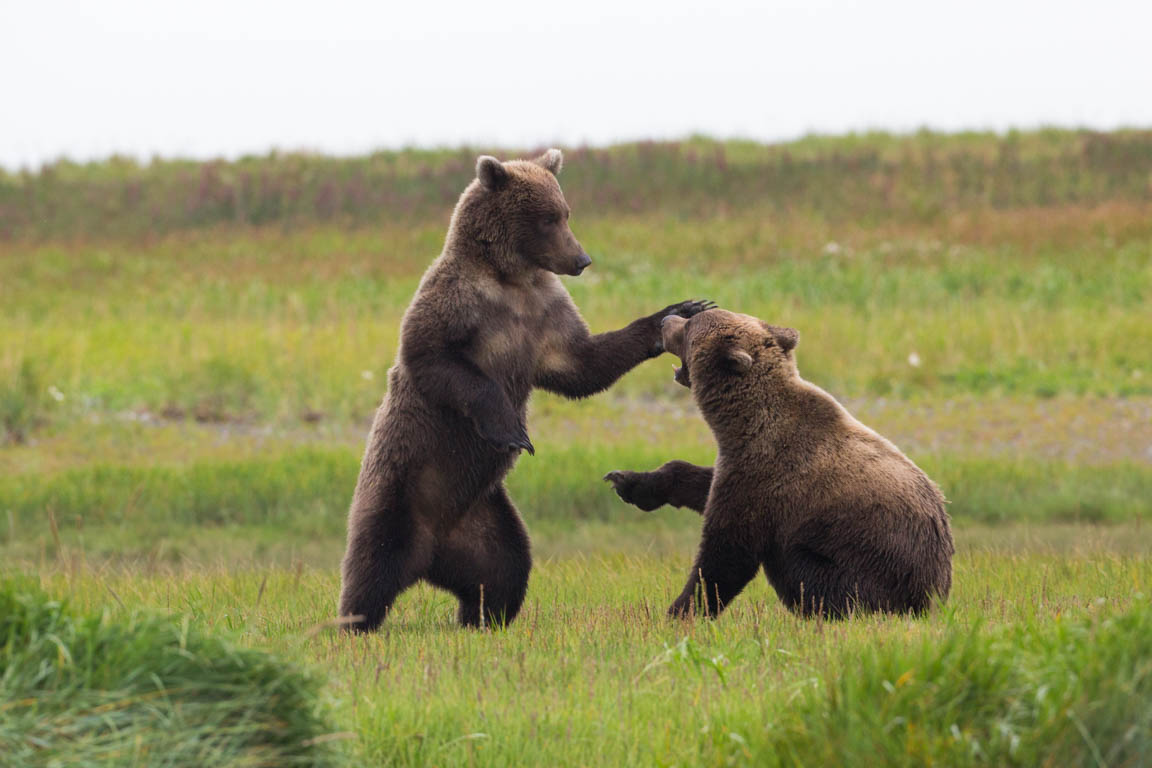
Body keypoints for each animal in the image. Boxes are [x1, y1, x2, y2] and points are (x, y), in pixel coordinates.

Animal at [336, 148, 709, 630]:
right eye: (548, 218)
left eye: (566, 212)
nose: (582, 259)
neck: (510, 279)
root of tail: (430, 556)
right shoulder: (456, 302)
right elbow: (434, 358)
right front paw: (513, 431)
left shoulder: (544, 313)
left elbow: (583, 364)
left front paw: (679, 310)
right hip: (398, 492)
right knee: (372, 565)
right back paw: (353, 624)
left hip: (483, 517)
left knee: (504, 569)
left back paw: (482, 617)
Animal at [603, 308, 953, 617]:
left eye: (690, 327)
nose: (667, 320)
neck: (743, 422)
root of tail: (937, 593)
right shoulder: (740, 465)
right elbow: (701, 484)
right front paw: (629, 482)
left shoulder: (769, 478)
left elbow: (726, 555)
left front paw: (679, 612)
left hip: (871, 567)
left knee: (804, 571)